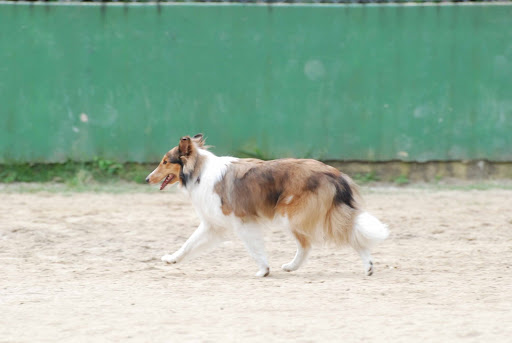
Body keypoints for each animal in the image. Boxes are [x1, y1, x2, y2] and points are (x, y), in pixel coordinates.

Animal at [145, 134, 388, 276]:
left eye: (165, 161)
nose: (147, 179)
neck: (199, 171)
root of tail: (335, 173)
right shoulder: (213, 225)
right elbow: (188, 244)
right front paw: (172, 259)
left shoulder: (242, 222)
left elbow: (254, 248)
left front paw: (263, 270)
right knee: (310, 244)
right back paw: (292, 266)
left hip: (294, 216)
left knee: (336, 236)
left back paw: (368, 265)